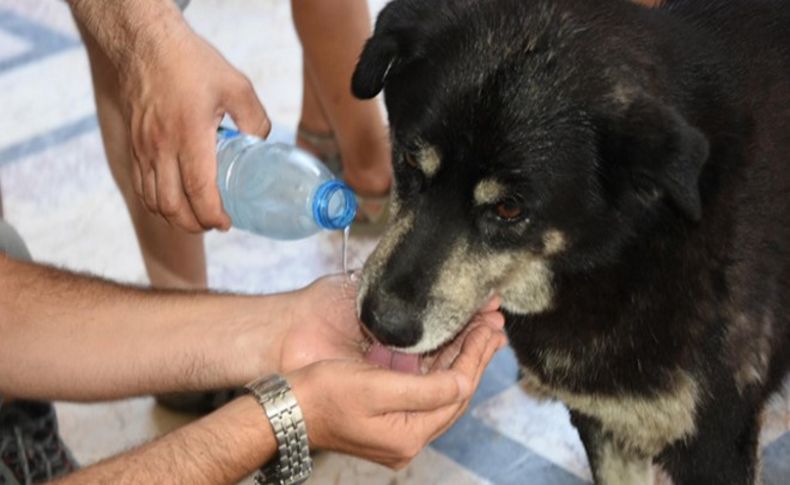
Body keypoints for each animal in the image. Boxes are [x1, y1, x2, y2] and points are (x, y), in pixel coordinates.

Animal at [352, 1, 790, 482]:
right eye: (410, 159)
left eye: (509, 209)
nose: (381, 323)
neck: (629, 252)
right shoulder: (604, 423)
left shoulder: (714, 447)